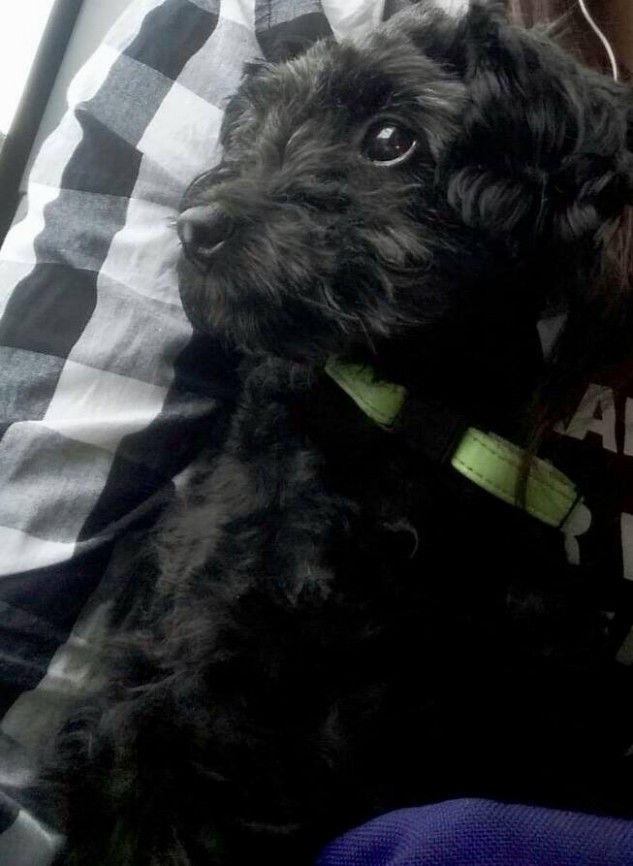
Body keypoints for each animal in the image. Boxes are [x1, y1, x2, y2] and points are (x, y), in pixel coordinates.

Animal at [47, 2, 633, 864]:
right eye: (250, 129)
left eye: (390, 139)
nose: (195, 227)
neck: (402, 420)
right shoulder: (189, 679)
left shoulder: (500, 686)